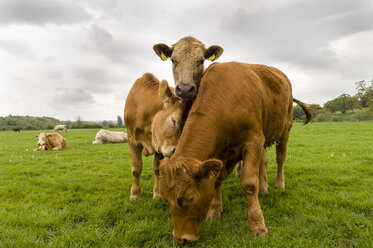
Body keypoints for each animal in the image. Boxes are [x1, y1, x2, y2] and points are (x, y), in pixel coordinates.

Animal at [123, 72, 189, 201]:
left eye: (185, 126)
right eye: (173, 120)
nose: (175, 151)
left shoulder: (160, 145)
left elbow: (157, 169)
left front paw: (157, 193)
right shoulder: (132, 140)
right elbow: (136, 168)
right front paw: (135, 194)